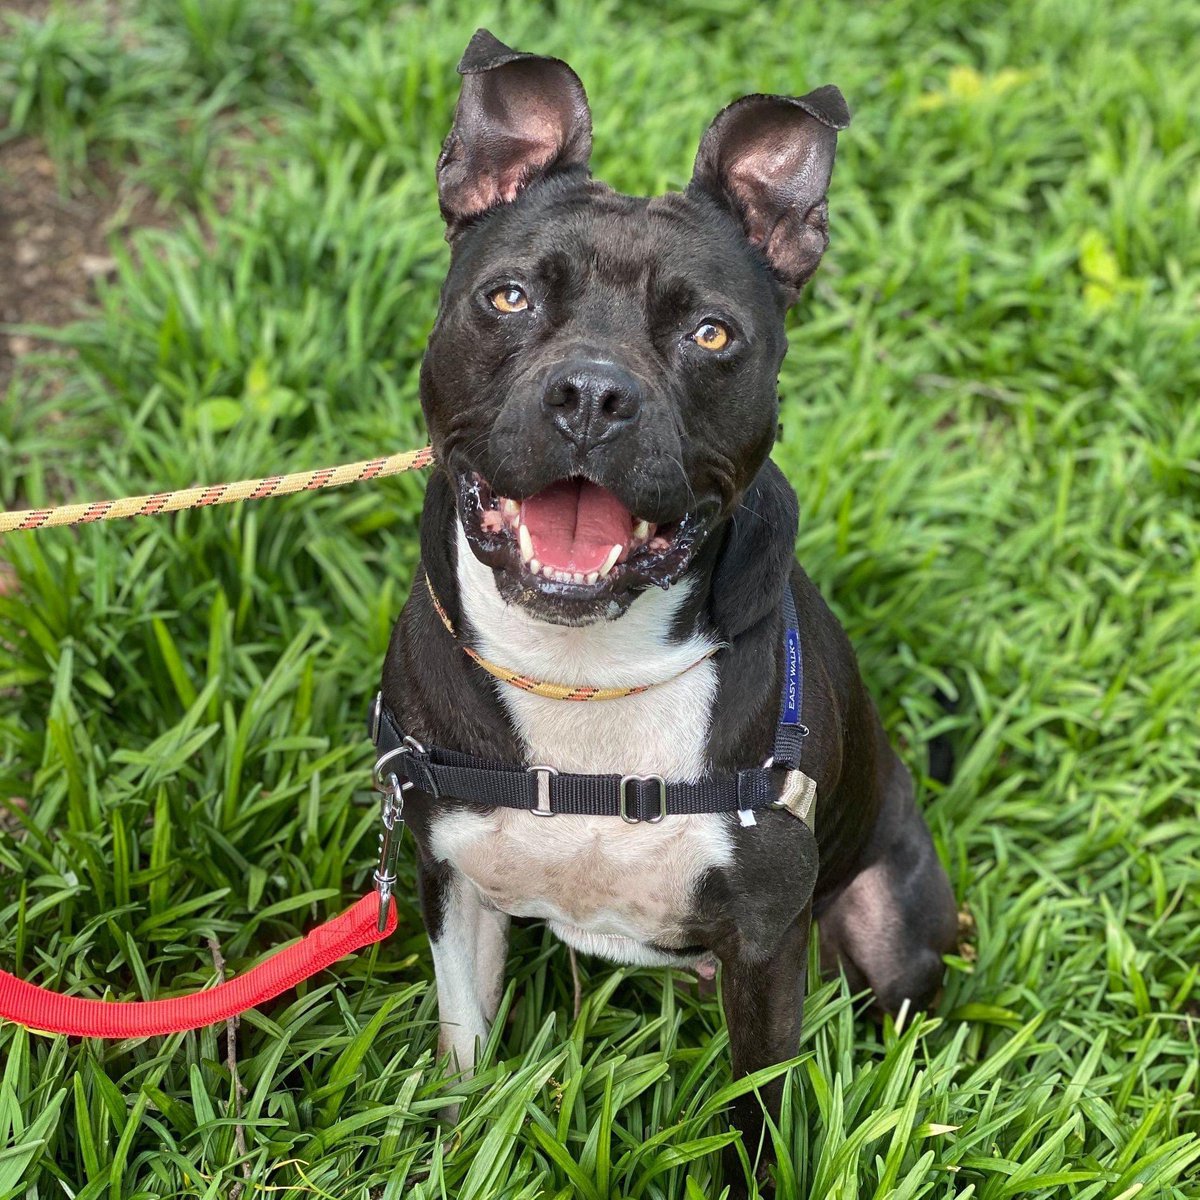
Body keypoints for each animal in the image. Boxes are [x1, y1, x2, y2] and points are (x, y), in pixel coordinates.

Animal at [374, 25, 955, 1190]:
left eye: (712, 336)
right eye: (509, 298)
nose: (594, 395)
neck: (585, 671)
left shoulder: (768, 946)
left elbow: (756, 1114)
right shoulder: (451, 880)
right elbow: (465, 1055)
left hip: (890, 925)